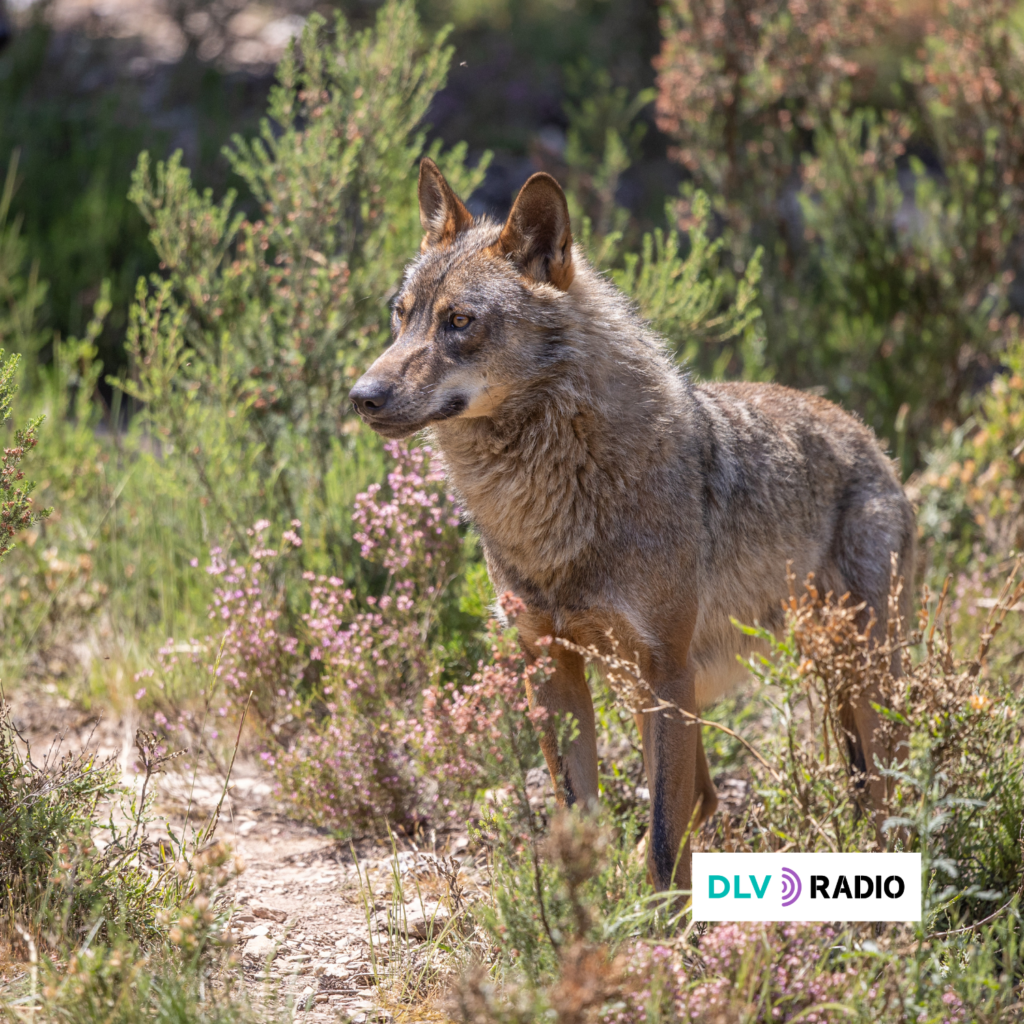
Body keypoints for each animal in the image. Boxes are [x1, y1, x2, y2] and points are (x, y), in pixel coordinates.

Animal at [349, 159, 916, 892]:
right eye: (401, 316)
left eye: (459, 321)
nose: (361, 397)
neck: (550, 508)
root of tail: (872, 441)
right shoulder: (549, 665)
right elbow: (579, 817)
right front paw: (586, 912)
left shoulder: (665, 668)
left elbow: (665, 843)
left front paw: (660, 921)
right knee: (710, 796)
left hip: (857, 683)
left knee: (883, 798)